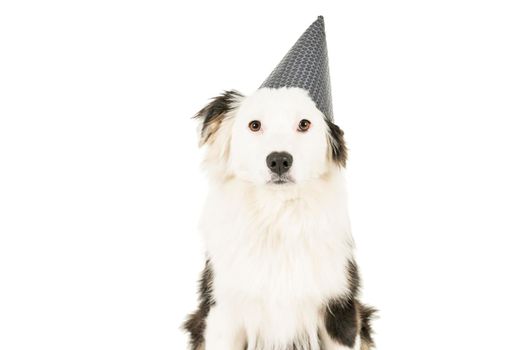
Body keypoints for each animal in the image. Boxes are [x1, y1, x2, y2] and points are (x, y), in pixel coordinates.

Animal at [182, 87, 374, 350]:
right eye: (254, 125)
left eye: (304, 123)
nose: (279, 160)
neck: (278, 216)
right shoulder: (223, 312)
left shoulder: (340, 307)